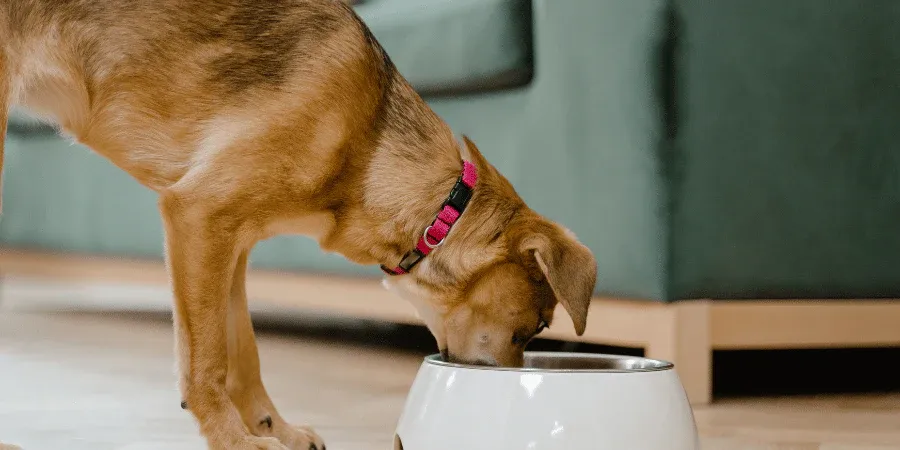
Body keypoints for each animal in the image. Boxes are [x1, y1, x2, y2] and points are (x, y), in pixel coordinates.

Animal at [3, 1, 600, 448]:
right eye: (536, 326)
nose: (511, 382)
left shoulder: (230, 243)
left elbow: (242, 353)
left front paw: (273, 429)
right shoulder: (198, 214)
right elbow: (206, 363)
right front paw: (235, 442)